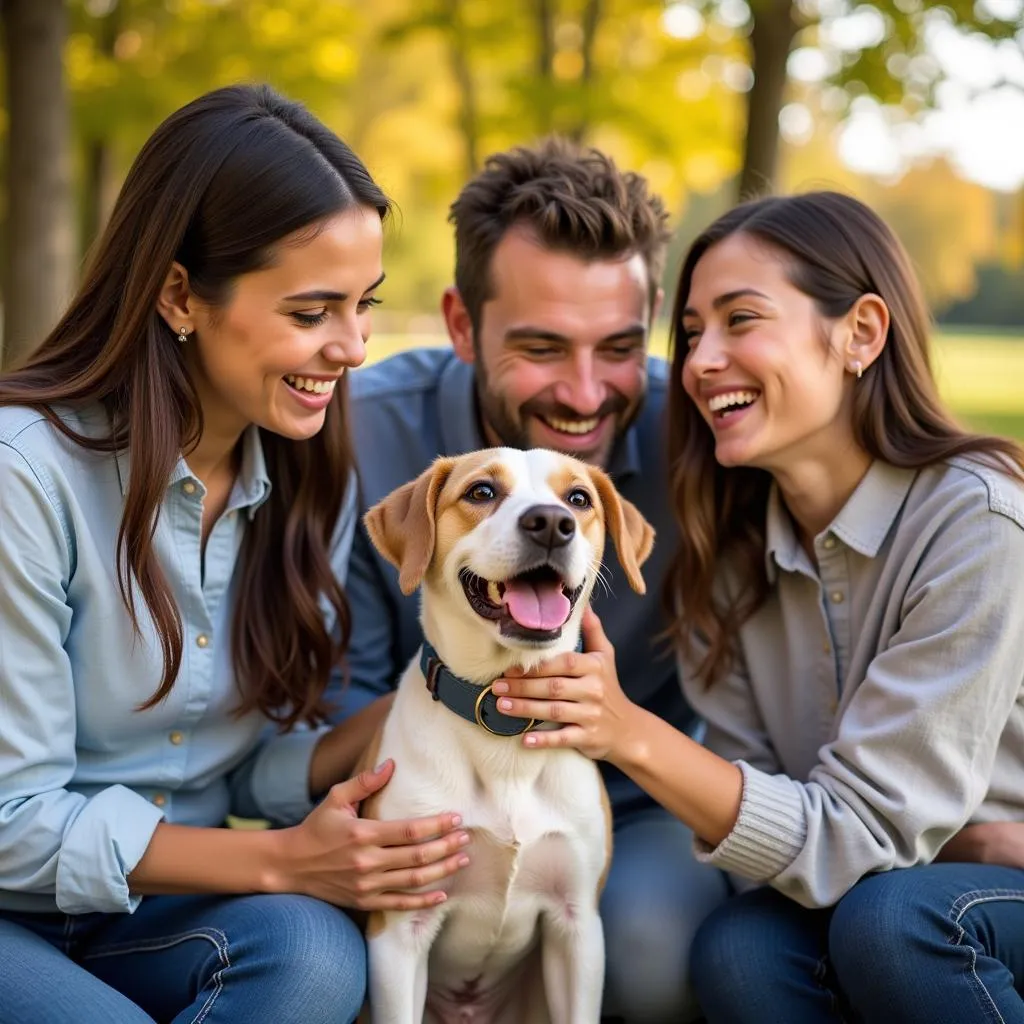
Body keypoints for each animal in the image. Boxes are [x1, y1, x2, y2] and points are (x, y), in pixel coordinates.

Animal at [360, 450, 655, 1024]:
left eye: (578, 499)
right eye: (481, 492)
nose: (551, 523)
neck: (502, 733)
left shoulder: (577, 927)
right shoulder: (398, 933)